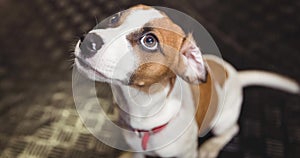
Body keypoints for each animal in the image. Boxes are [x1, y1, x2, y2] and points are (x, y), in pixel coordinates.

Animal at [73, 4, 300, 157]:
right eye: (114, 19)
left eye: (149, 41)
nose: (88, 41)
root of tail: (233, 74)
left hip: (222, 120)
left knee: (232, 129)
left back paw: (211, 146)